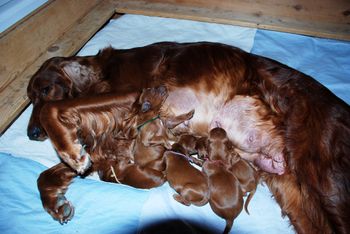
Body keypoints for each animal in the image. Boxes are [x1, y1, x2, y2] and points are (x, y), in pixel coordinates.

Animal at [27, 41, 350, 233]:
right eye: (29, 97)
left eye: (45, 90)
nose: (31, 133)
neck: (102, 72)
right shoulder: (115, 140)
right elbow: (47, 175)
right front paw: (56, 202)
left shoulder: (134, 96)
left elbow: (55, 110)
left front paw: (69, 150)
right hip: (293, 191)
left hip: (325, 181)